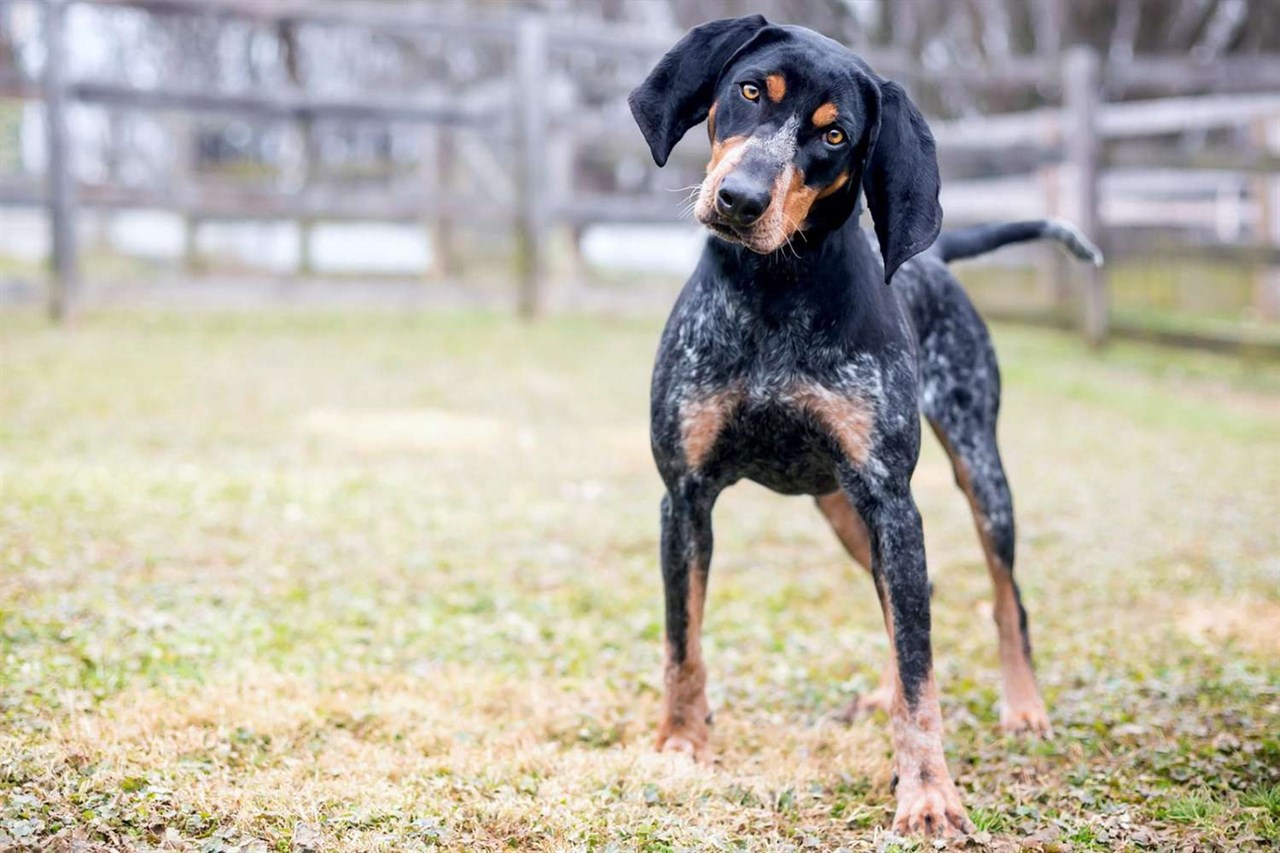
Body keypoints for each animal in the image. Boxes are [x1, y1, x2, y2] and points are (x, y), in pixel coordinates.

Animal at [629, 16, 1100, 835]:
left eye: (835, 135)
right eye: (749, 91)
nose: (739, 199)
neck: (772, 294)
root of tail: (937, 257)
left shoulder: (891, 499)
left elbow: (922, 672)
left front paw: (929, 792)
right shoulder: (683, 498)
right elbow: (682, 642)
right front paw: (682, 744)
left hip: (978, 475)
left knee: (1002, 598)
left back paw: (1023, 706)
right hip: (842, 509)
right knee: (917, 598)